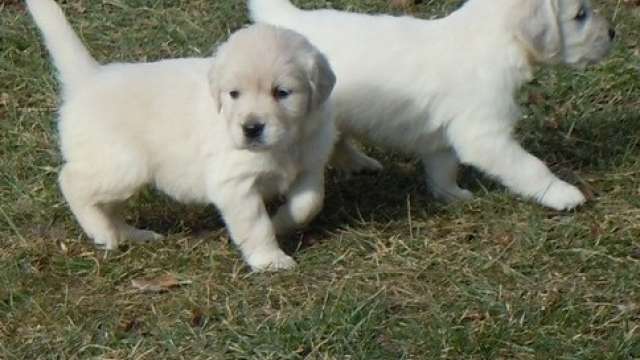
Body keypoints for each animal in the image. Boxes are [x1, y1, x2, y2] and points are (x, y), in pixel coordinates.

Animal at [26, 0, 336, 270]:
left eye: (282, 92)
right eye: (234, 94)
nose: (251, 128)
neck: (286, 142)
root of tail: (89, 78)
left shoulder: (310, 164)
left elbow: (309, 204)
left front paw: (281, 222)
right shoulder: (234, 184)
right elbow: (255, 225)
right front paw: (270, 260)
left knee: (108, 206)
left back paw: (131, 235)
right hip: (122, 166)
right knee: (71, 182)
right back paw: (100, 231)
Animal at [250, 0, 616, 211]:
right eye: (580, 15)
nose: (613, 32)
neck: (487, 39)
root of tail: (288, 18)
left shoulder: (444, 137)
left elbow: (443, 169)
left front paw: (452, 196)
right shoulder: (484, 136)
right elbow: (530, 167)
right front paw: (562, 193)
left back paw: (361, 163)